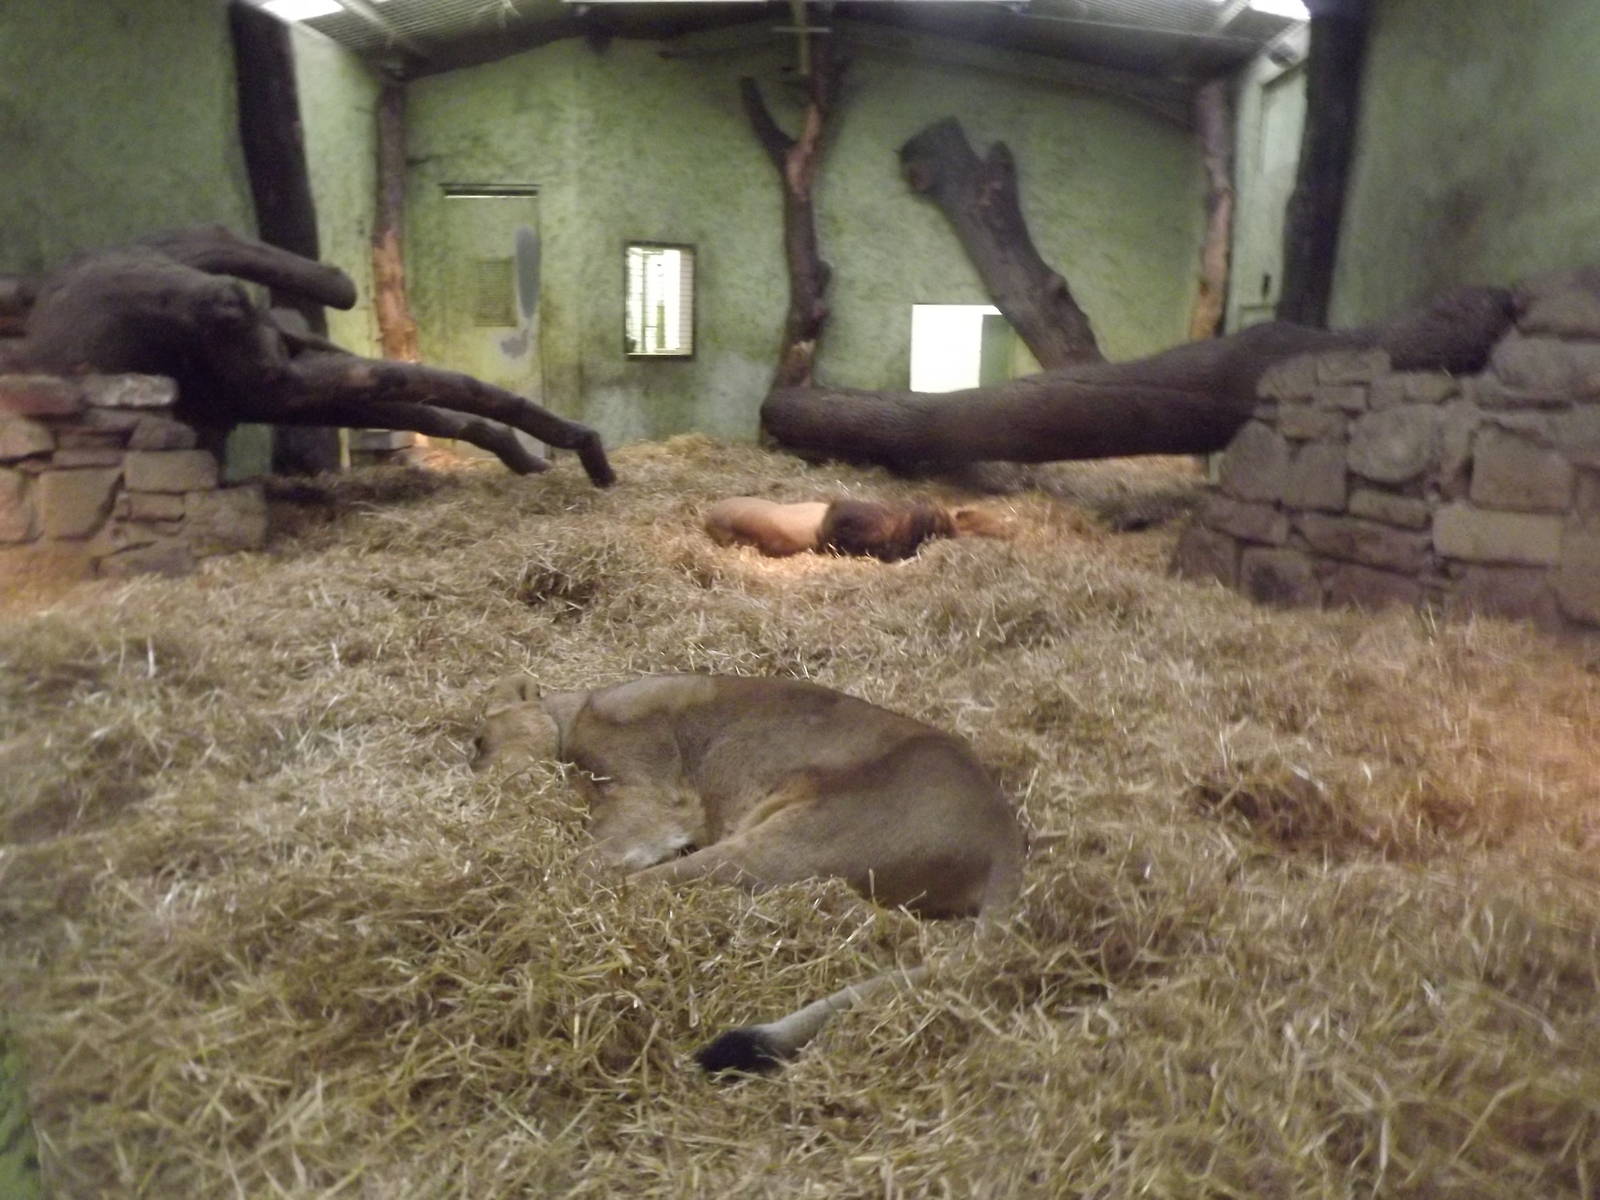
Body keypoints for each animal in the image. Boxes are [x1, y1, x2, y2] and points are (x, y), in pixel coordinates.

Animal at [473, 671, 1025, 1073]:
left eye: (478, 742)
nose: (476, 777)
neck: (574, 711)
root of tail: (1005, 835)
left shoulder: (654, 794)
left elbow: (593, 856)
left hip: (788, 840)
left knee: (644, 884)